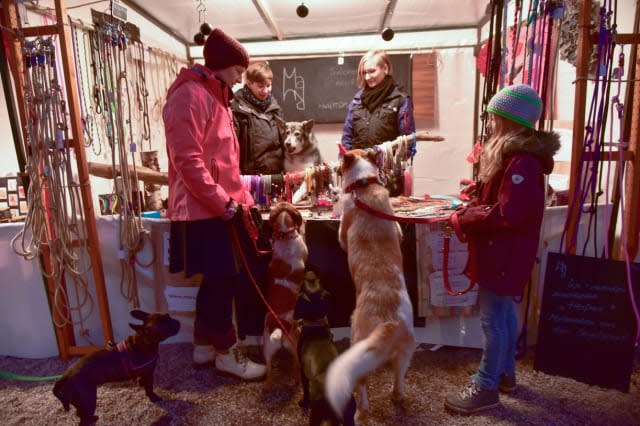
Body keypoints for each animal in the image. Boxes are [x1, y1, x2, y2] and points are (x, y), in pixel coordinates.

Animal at [294, 272, 356, 424]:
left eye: (302, 283)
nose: (309, 272)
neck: (315, 323)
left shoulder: (303, 372)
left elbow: (305, 390)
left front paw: (303, 403)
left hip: (316, 415)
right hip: (348, 418)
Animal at [324, 149, 416, 422]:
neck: (363, 185)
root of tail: (389, 322)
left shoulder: (343, 231)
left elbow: (341, 234)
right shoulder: (395, 224)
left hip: (358, 346)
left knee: (361, 386)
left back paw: (359, 412)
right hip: (405, 355)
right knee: (398, 381)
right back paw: (396, 397)